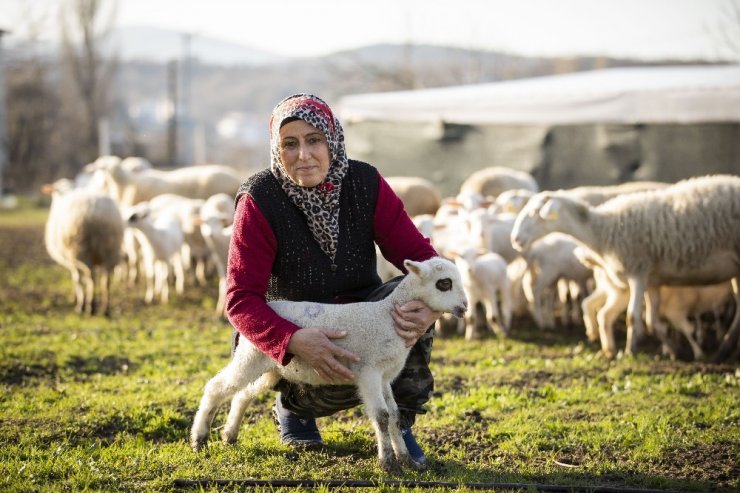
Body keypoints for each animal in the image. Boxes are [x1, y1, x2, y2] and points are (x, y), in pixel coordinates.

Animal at [43, 181, 123, 316]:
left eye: (56, 191)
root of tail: (97, 214)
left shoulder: (72, 260)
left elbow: (77, 279)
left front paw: (78, 302)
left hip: (81, 250)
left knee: (91, 278)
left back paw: (89, 307)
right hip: (110, 250)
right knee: (105, 281)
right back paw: (104, 309)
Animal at [191, 256, 468, 470]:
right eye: (444, 284)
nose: (464, 307)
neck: (386, 317)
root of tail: (268, 305)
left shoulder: (385, 377)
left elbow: (395, 415)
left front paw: (406, 460)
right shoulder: (368, 372)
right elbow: (381, 416)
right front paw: (389, 464)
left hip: (272, 366)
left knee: (243, 394)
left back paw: (229, 435)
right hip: (251, 355)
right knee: (217, 387)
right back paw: (199, 439)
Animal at [512, 175, 740, 360]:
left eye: (535, 213)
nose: (515, 239)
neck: (602, 230)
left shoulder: (637, 272)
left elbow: (633, 316)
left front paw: (630, 351)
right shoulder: (652, 279)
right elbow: (652, 321)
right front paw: (675, 350)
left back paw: (724, 349)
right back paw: (723, 349)